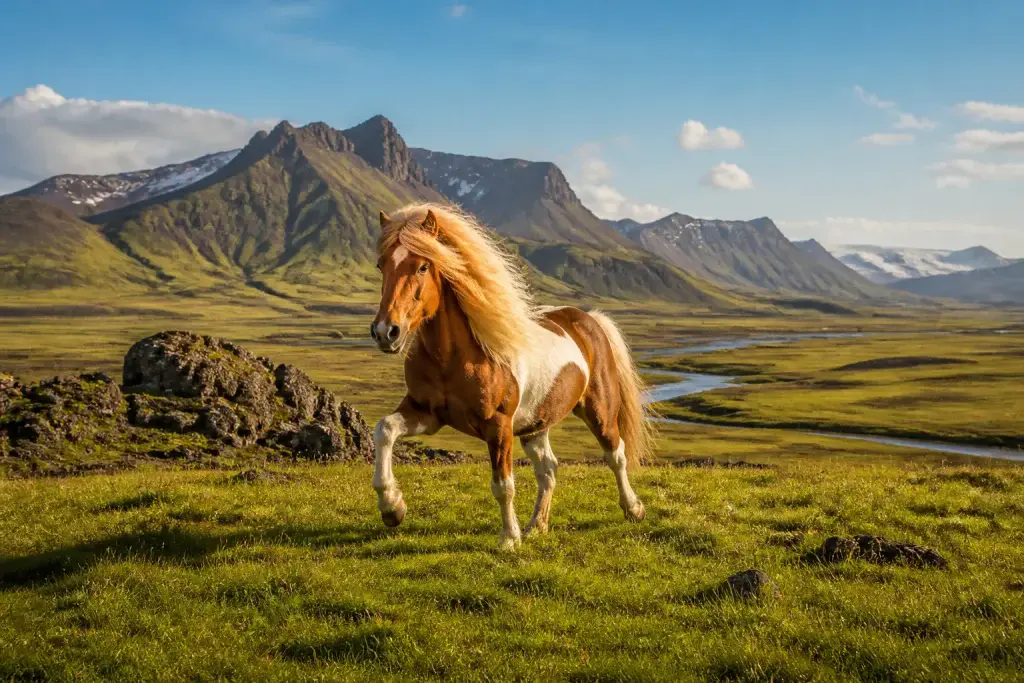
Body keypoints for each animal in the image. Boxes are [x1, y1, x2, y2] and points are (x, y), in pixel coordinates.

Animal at [369, 203, 655, 550]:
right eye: (381, 264)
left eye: (423, 266)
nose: (386, 332)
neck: (453, 358)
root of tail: (589, 319)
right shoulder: (426, 413)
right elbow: (384, 429)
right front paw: (392, 507)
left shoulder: (498, 426)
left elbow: (503, 484)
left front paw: (508, 539)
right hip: (536, 424)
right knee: (548, 469)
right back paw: (537, 525)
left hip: (598, 410)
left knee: (616, 455)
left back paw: (634, 509)